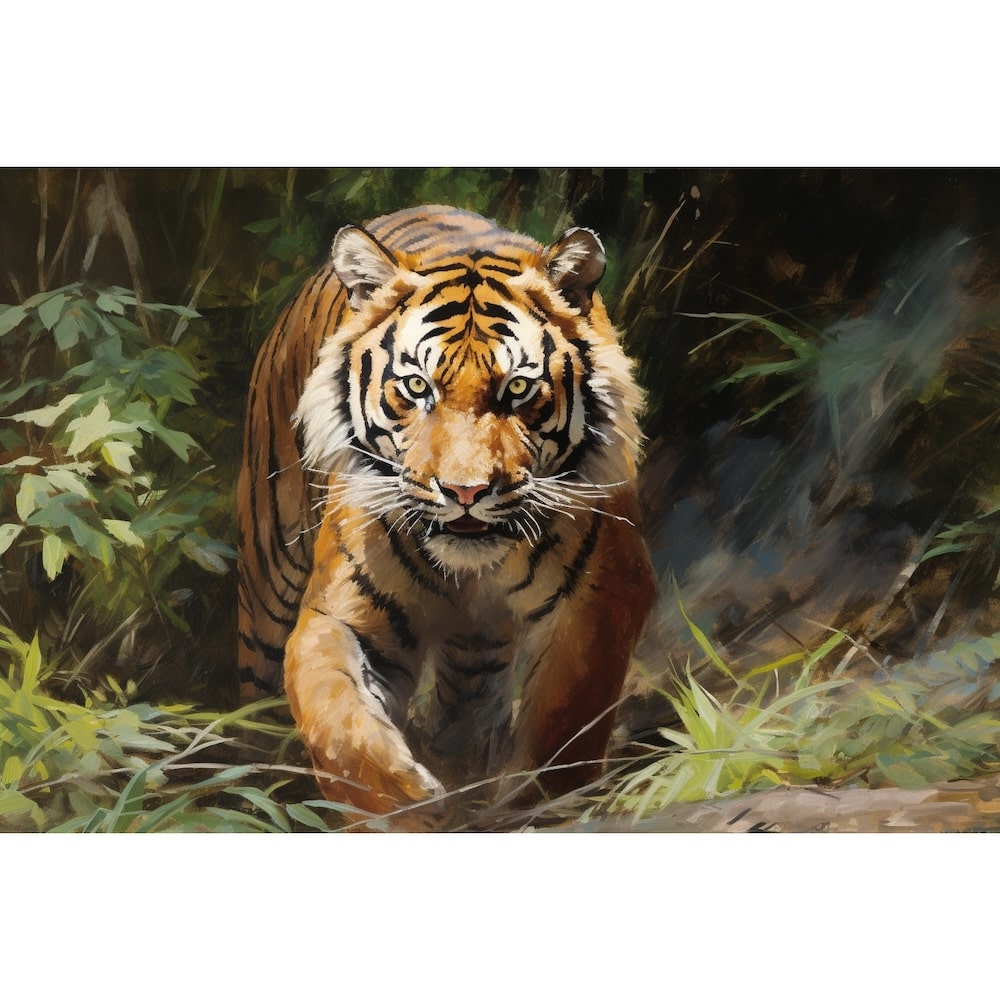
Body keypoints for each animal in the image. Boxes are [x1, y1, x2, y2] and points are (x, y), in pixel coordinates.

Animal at [236, 204, 656, 829]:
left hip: (478, 647)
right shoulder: (339, 614)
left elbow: (563, 725)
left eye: (518, 387)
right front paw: (404, 809)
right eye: (416, 386)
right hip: (267, 585)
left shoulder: (600, 597)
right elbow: (342, 727)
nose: (465, 491)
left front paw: (526, 804)